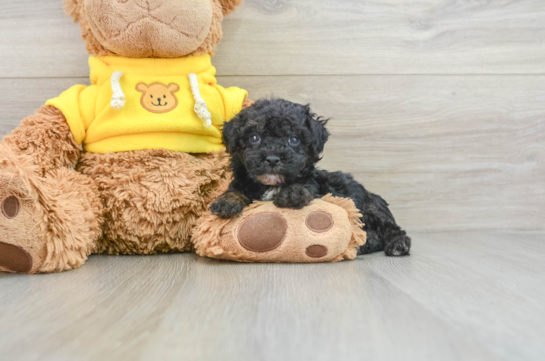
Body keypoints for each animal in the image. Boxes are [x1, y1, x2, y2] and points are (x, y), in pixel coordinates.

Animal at [210, 98, 410, 256]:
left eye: (294, 139)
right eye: (254, 137)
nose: (273, 158)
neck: (272, 185)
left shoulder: (317, 189)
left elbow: (302, 186)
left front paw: (293, 193)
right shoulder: (243, 183)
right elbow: (235, 190)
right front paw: (226, 201)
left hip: (371, 207)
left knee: (390, 228)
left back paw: (398, 244)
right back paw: (365, 244)